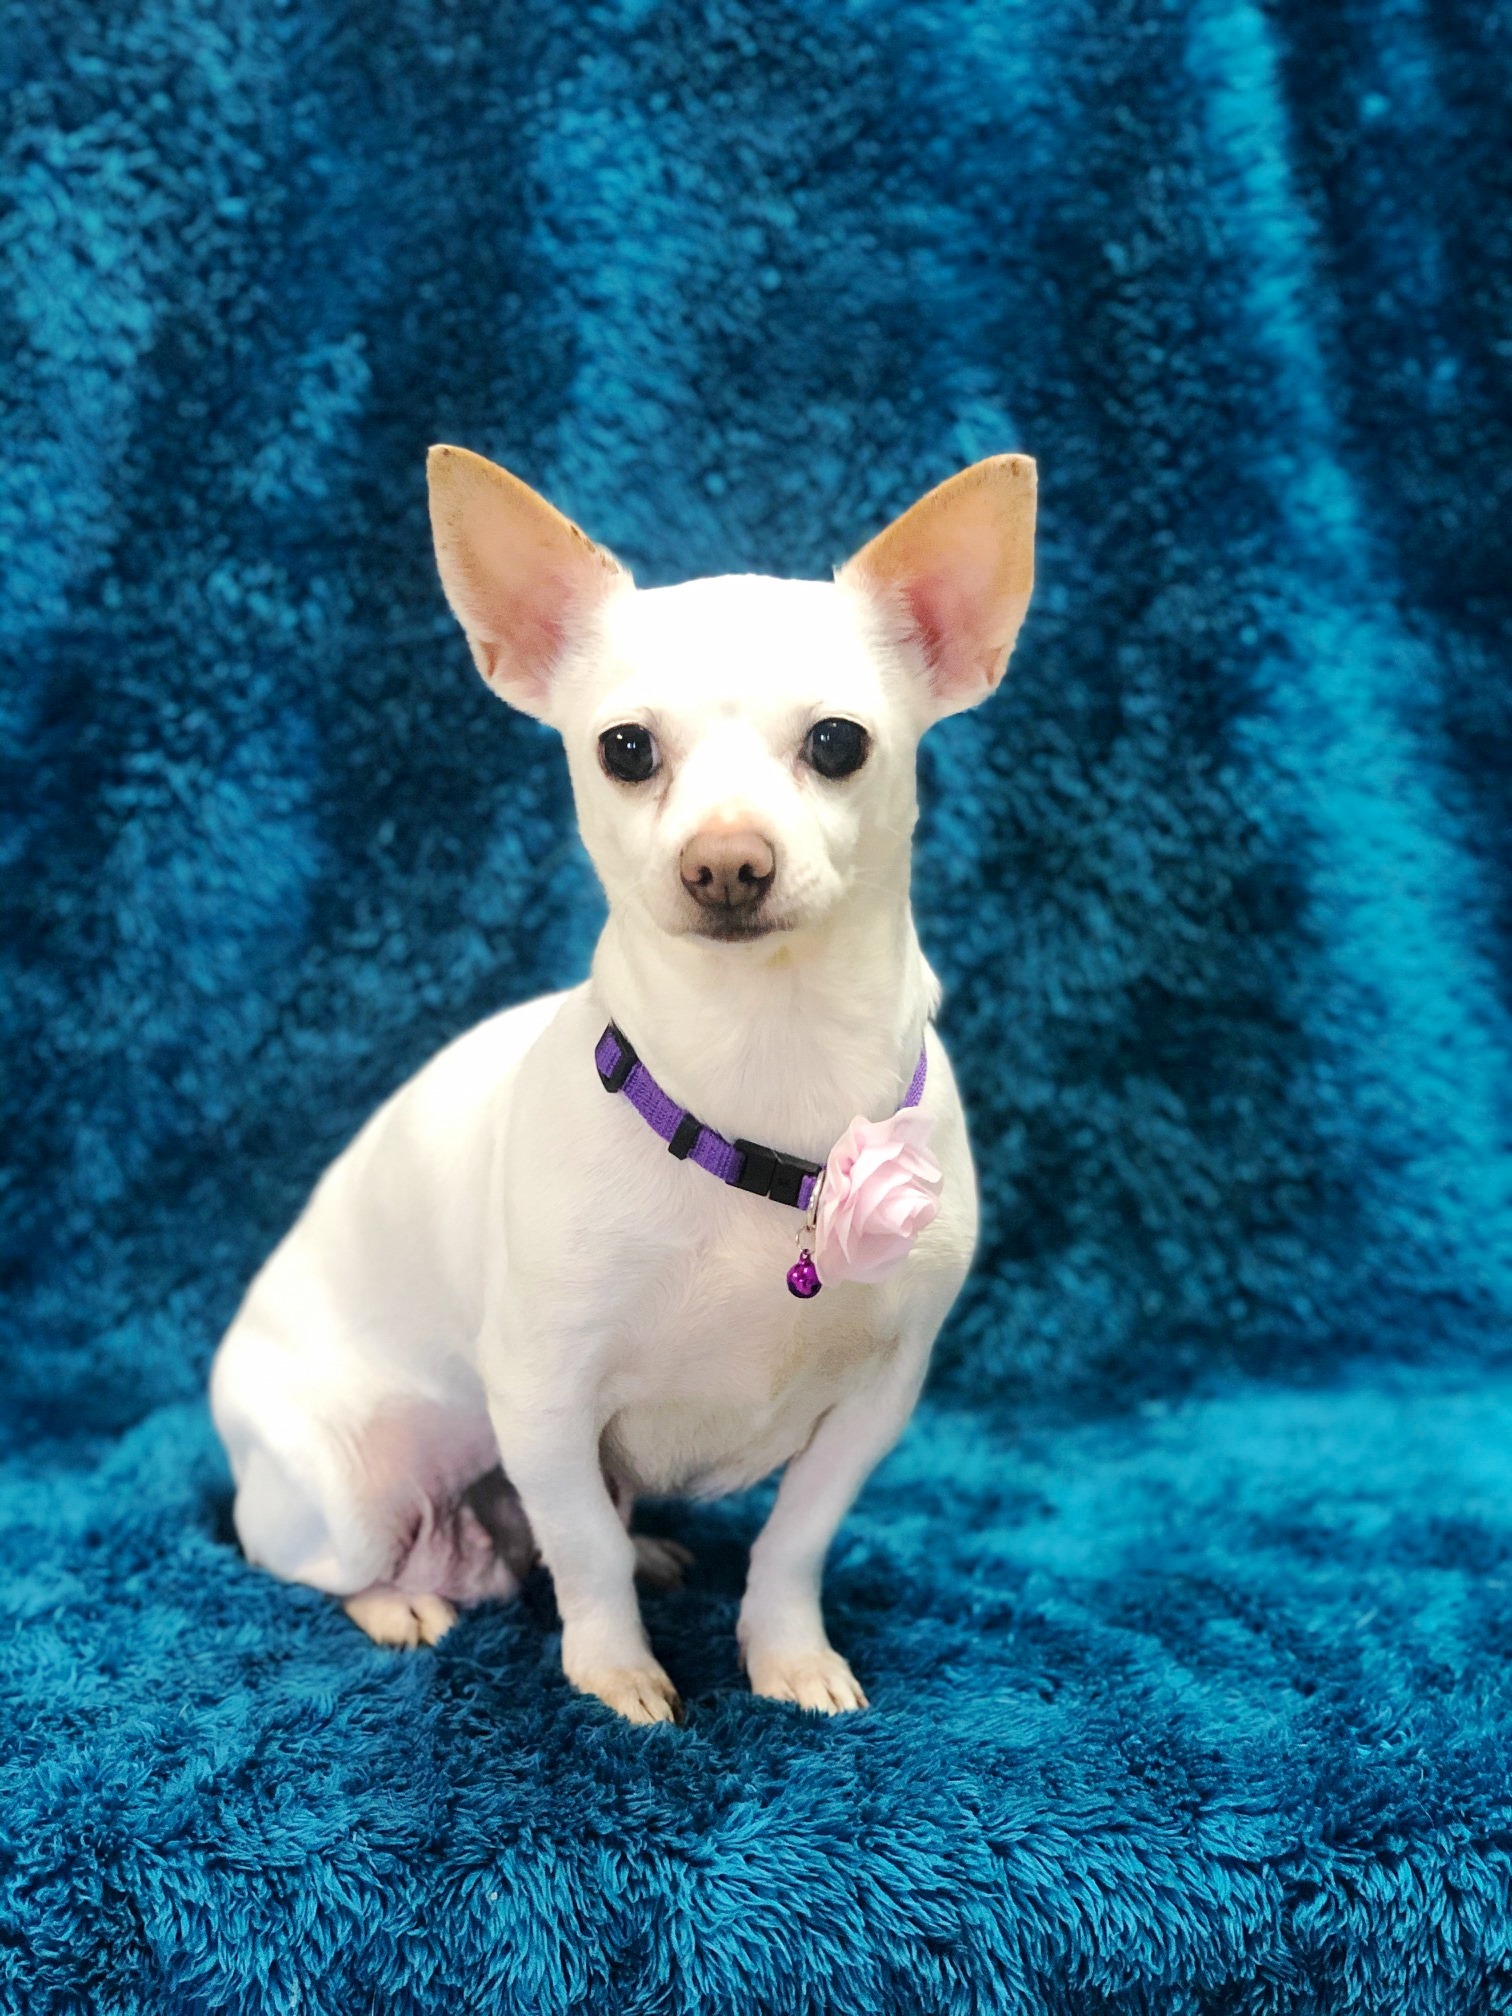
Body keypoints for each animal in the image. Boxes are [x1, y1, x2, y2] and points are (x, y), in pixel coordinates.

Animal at [213, 449, 1040, 1725]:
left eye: (838, 744)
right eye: (626, 751)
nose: (727, 861)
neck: (762, 1062)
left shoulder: (875, 1406)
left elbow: (792, 1543)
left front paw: (787, 1656)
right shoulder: (545, 1400)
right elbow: (583, 1555)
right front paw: (613, 1675)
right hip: (350, 1484)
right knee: (317, 1563)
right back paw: (401, 1602)